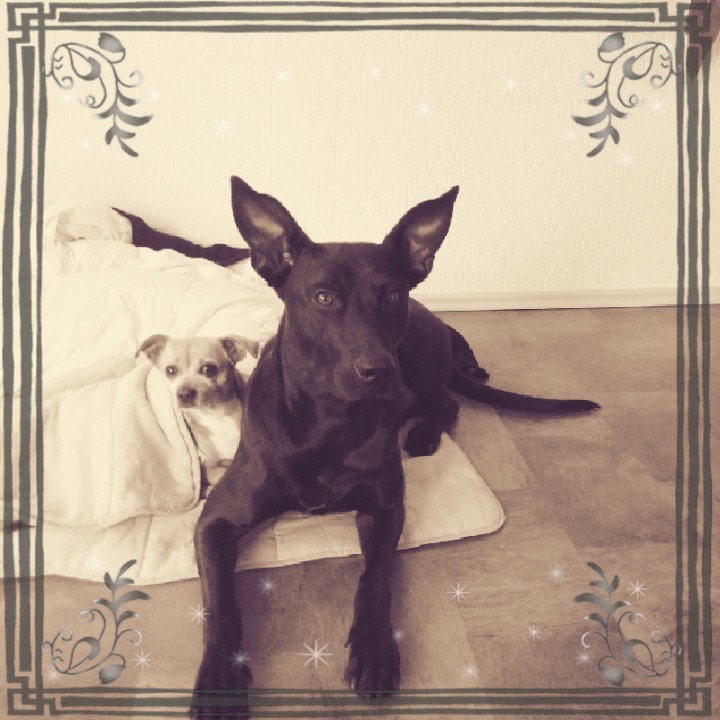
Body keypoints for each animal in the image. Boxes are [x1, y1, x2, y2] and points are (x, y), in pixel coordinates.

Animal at [137, 335, 259, 493]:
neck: (216, 416)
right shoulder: (208, 467)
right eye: (170, 370)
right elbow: (224, 473)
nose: (184, 393)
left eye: (208, 369)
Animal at [190, 177, 598, 717]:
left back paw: (423, 433)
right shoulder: (216, 520)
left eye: (391, 294)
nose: (379, 370)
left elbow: (375, 579)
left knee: (447, 401)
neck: (331, 419)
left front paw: (375, 650)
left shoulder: (384, 508)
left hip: (420, 363)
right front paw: (220, 674)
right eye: (323, 297)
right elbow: (221, 603)